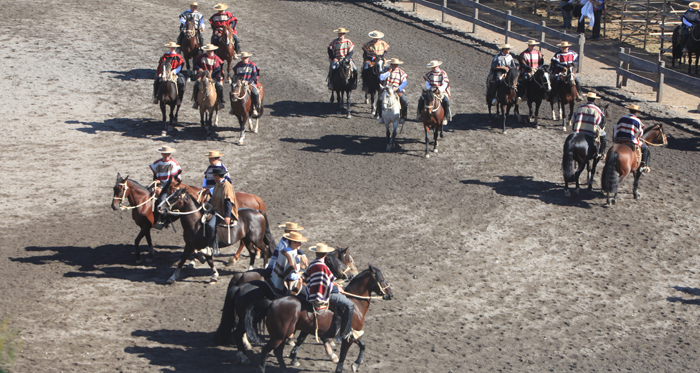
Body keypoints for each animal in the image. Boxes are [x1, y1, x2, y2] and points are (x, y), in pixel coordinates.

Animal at [243, 264, 392, 372]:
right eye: (381, 278)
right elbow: (344, 355)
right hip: (278, 336)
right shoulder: (348, 336)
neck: (355, 304)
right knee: (266, 350)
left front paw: (356, 364)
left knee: (278, 352)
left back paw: (284, 369)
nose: (390, 294)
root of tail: (272, 303)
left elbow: (363, 345)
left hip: (283, 335)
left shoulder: (354, 333)